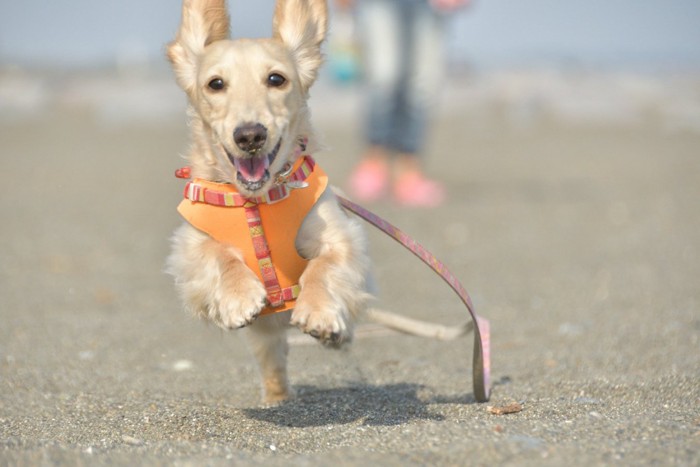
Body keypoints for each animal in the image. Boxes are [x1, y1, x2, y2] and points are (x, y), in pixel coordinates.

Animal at [167, 0, 372, 402]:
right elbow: (221, 256)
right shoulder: (189, 248)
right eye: (216, 84)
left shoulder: (341, 236)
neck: (256, 201)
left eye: (276, 79)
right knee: (273, 363)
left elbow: (322, 268)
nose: (249, 135)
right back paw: (277, 397)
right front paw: (238, 297)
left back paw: (337, 333)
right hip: (266, 339)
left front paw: (320, 311)